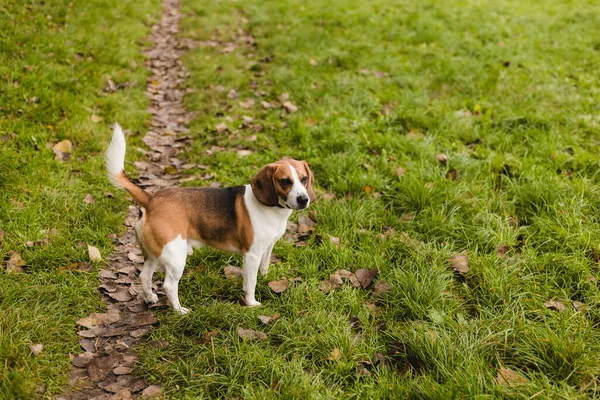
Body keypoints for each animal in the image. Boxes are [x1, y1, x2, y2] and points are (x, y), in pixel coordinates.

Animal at [105, 123, 316, 314]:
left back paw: (149, 298)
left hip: (154, 253)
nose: (304, 199)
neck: (272, 208)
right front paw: (251, 303)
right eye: (284, 181)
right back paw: (180, 311)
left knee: (144, 276)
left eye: (304, 179)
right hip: (176, 256)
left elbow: (263, 268)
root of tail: (150, 199)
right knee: (169, 286)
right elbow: (250, 282)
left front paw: (266, 279)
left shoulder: (267, 247)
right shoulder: (252, 254)